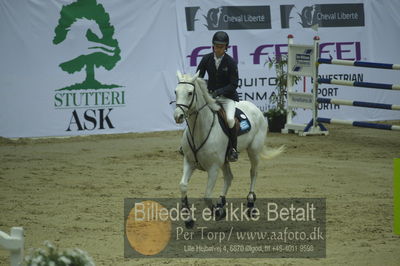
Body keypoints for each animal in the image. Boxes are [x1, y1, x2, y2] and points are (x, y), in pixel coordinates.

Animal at [173, 71, 282, 228]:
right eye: (176, 92)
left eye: (190, 93)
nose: (178, 116)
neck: (200, 130)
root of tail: (254, 107)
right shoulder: (189, 162)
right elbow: (183, 186)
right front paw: (188, 220)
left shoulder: (213, 168)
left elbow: (206, 196)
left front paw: (218, 213)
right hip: (225, 160)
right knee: (229, 177)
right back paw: (221, 202)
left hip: (253, 151)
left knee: (253, 172)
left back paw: (250, 204)